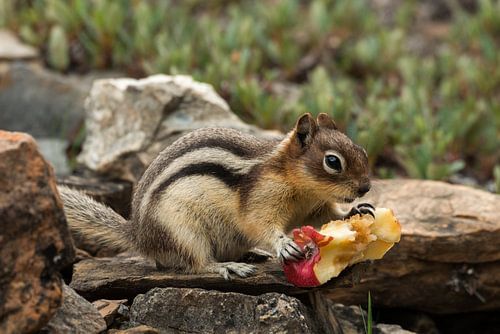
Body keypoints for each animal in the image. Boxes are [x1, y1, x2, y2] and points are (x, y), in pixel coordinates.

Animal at [58, 113, 374, 278]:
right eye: (332, 162)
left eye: (362, 151)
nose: (365, 188)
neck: (302, 188)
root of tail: (139, 235)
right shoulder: (261, 198)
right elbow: (258, 223)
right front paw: (283, 244)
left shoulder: (314, 207)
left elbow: (328, 216)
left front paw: (355, 212)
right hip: (183, 231)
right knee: (196, 264)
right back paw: (228, 266)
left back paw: (251, 254)